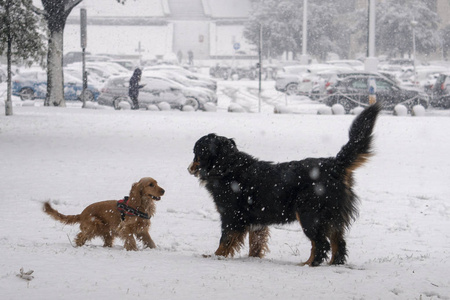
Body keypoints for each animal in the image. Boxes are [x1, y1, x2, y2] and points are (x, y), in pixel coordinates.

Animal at [188, 102, 382, 264]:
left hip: (309, 215)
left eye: (196, 152)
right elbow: (255, 243)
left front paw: (215, 256)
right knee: (338, 244)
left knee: (321, 244)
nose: (189, 168)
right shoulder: (256, 222)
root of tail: (334, 165)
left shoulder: (231, 216)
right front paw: (253, 259)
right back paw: (333, 264)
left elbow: (225, 240)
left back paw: (308, 264)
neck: (227, 167)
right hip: (332, 218)